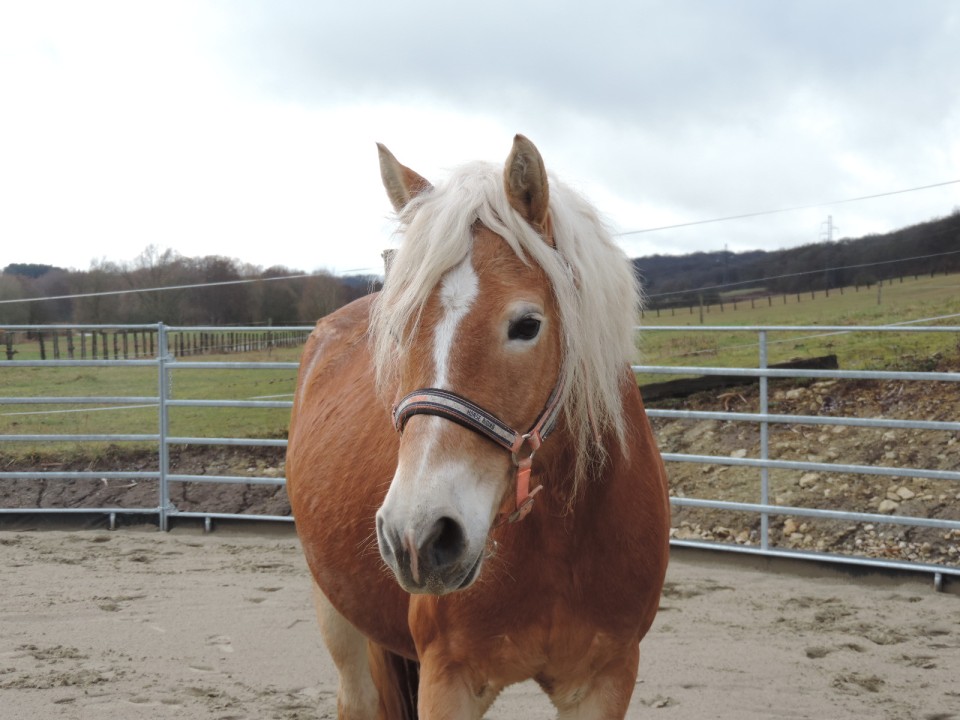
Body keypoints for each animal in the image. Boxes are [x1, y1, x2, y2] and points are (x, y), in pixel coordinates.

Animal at [286, 136, 668, 720]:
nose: (417, 536)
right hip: (336, 615)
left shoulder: (606, 680)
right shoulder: (449, 680)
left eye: (527, 325)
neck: (560, 541)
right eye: (396, 331)